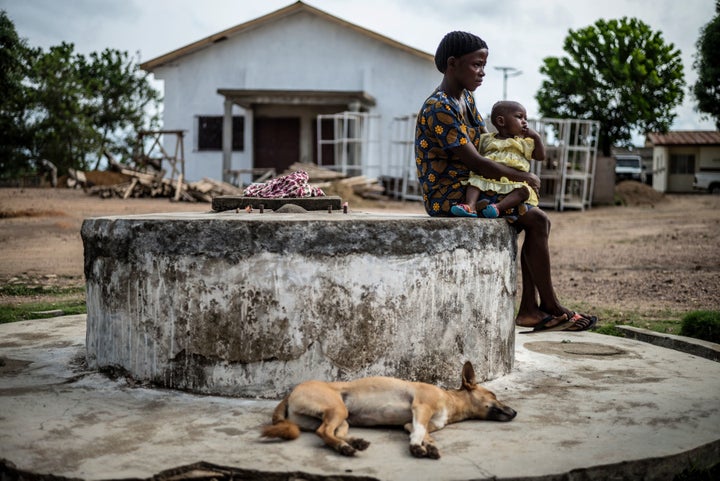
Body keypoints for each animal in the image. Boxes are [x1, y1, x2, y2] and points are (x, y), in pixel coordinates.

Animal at [262, 360, 516, 458]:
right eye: (493, 395)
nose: (515, 413)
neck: (450, 401)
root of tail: (290, 393)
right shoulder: (421, 408)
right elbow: (419, 432)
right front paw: (417, 447)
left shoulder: (412, 423)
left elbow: (424, 434)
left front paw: (429, 446)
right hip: (337, 408)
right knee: (323, 432)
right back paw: (345, 448)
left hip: (342, 417)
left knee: (331, 432)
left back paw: (353, 442)